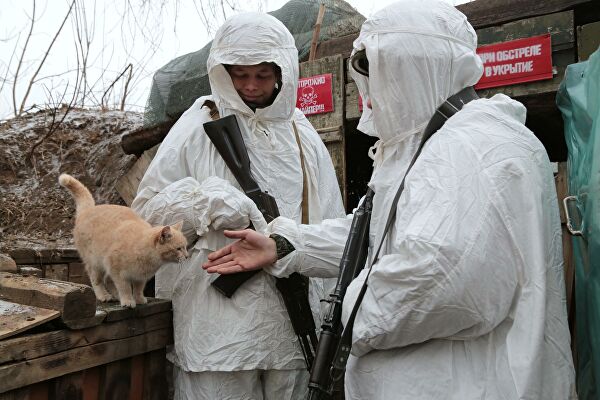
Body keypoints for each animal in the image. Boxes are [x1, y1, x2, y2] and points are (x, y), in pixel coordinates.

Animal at [60, 173, 188, 308]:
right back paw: (103, 295)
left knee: (107, 280)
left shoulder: (139, 277)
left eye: (185, 247)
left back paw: (116, 296)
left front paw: (138, 299)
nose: (187, 256)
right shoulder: (117, 272)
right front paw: (127, 300)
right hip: (96, 263)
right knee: (97, 280)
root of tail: (88, 210)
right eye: (178, 248)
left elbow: (138, 289)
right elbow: (125, 288)